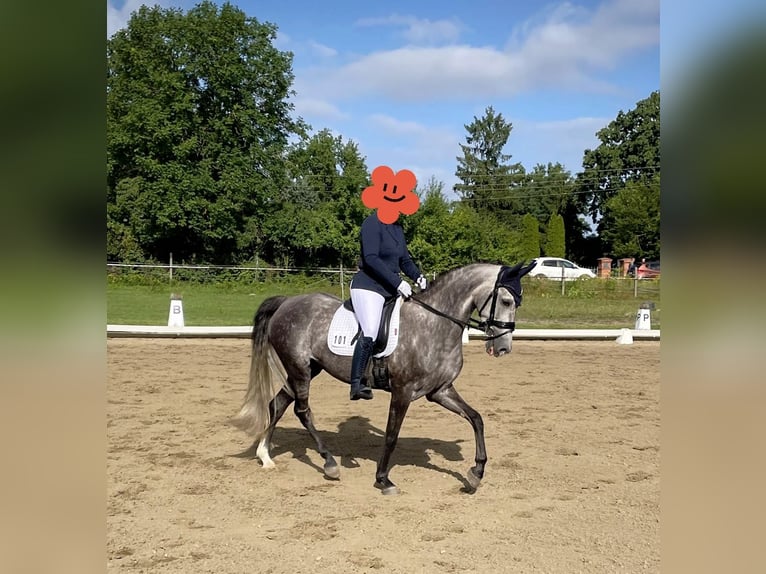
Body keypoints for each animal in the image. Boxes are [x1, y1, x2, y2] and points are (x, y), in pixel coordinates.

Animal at [231, 261, 535, 495]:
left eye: (517, 302)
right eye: (506, 300)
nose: (503, 348)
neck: (435, 323)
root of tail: (287, 302)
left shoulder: (441, 391)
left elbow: (476, 419)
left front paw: (475, 473)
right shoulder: (403, 391)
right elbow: (391, 435)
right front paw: (383, 479)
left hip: (306, 369)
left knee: (277, 403)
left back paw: (266, 456)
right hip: (300, 369)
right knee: (301, 410)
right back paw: (329, 463)